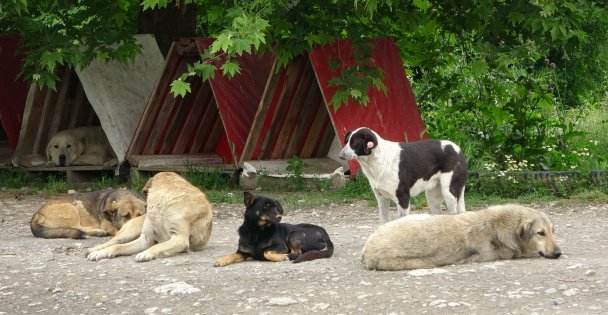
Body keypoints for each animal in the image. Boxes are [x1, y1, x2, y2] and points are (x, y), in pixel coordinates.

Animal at [85, 172, 214, 262]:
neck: (163, 204)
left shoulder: (179, 239)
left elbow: (157, 246)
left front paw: (146, 253)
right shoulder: (146, 239)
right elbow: (117, 247)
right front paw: (101, 252)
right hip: (128, 233)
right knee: (114, 241)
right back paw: (94, 250)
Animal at [340, 127, 468, 223]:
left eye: (354, 143)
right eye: (347, 142)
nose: (340, 156)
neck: (379, 159)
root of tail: (458, 150)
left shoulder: (403, 199)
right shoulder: (381, 199)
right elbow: (383, 222)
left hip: (449, 193)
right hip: (433, 197)